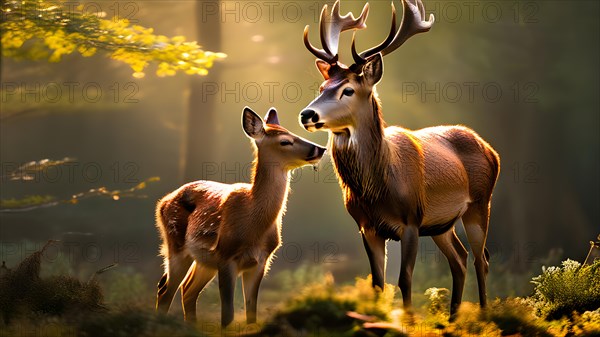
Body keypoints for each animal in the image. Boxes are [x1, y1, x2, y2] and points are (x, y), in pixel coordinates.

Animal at [155, 105, 324, 326]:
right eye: (285, 141)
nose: (320, 149)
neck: (253, 225)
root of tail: (162, 203)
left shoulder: (261, 260)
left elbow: (251, 312)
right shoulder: (226, 255)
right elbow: (228, 314)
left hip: (204, 260)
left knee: (187, 290)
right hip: (176, 245)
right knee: (165, 290)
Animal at [300, 0, 502, 316]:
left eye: (348, 89)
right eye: (322, 88)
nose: (307, 114)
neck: (379, 187)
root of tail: (491, 149)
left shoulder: (411, 220)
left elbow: (405, 279)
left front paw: (407, 319)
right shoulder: (367, 226)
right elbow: (377, 283)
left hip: (480, 202)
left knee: (481, 259)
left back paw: (481, 315)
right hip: (441, 224)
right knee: (460, 258)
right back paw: (453, 317)